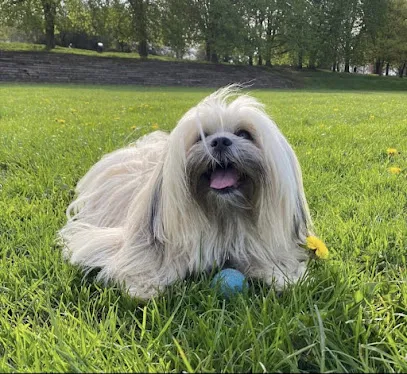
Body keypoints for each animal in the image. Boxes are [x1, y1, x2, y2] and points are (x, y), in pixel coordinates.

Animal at [59, 84, 316, 298]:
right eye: (201, 137)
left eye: (244, 134)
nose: (220, 141)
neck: (223, 215)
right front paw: (143, 284)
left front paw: (282, 275)